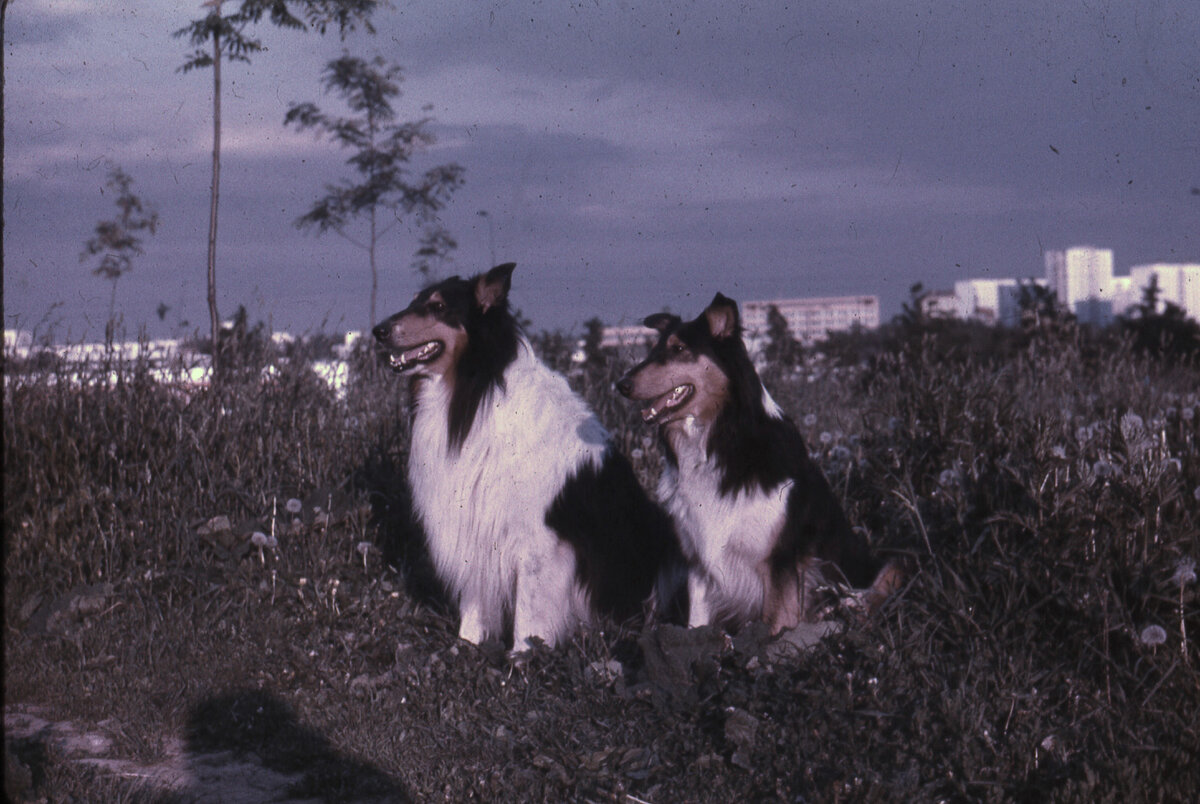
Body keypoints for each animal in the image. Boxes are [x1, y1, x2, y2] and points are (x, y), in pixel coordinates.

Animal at [369, 267, 681, 652]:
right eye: (414, 301)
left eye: (438, 306)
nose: (379, 331)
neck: (477, 392)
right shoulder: (475, 523)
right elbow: (475, 598)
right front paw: (467, 644)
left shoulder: (537, 542)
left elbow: (529, 608)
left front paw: (523, 653)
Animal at [619, 292, 902, 633]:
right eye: (653, 351)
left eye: (678, 349)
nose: (621, 385)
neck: (718, 443)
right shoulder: (699, 561)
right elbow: (695, 623)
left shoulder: (780, 564)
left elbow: (774, 627)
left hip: (881, 563)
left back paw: (847, 607)